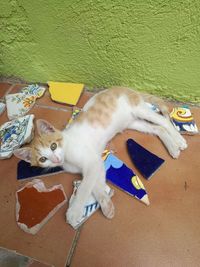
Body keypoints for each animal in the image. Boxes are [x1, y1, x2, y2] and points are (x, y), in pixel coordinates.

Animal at [14, 87, 188, 225]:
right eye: (43, 159)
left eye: (53, 146)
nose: (56, 159)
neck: (67, 150)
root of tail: (126, 88)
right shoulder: (96, 165)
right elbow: (96, 185)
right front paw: (106, 205)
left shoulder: (92, 162)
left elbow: (84, 187)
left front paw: (74, 212)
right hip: (133, 122)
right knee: (157, 129)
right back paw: (172, 147)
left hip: (139, 109)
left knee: (164, 122)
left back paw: (179, 140)